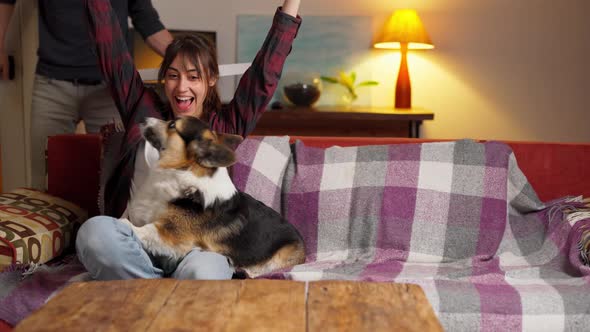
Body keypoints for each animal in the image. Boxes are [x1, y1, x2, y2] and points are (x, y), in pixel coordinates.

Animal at [120, 116, 306, 278]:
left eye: (172, 124)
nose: (142, 119)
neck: (187, 172)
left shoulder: (169, 232)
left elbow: (140, 228)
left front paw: (122, 223)